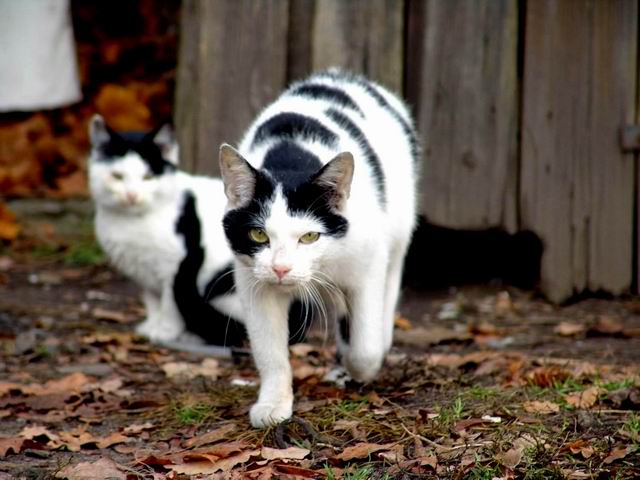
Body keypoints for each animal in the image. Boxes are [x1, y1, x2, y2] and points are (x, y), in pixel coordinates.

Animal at [85, 117, 245, 348]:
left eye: (148, 177)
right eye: (117, 176)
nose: (131, 195)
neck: (133, 222)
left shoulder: (174, 266)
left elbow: (170, 305)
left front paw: (165, 332)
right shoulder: (144, 273)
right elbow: (153, 302)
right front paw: (151, 327)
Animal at [220, 69, 420, 426]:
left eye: (310, 237)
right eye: (258, 235)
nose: (281, 268)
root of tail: (343, 76)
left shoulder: (368, 264)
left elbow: (365, 348)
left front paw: (358, 366)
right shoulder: (254, 283)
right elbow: (269, 352)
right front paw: (274, 403)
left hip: (397, 234)